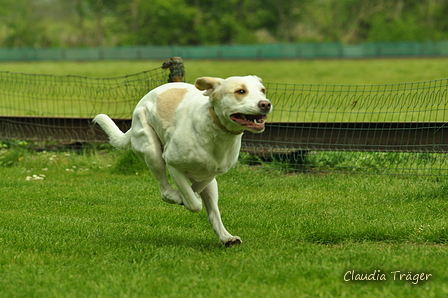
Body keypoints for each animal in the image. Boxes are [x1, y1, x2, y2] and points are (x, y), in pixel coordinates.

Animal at [93, 75, 272, 246]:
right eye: (240, 91)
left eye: (262, 90)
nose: (266, 104)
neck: (216, 131)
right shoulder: (173, 165)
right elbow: (193, 202)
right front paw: (185, 198)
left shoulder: (212, 173)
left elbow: (198, 188)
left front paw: (192, 194)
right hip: (151, 149)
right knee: (164, 191)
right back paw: (176, 196)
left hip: (210, 184)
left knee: (213, 212)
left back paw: (226, 238)